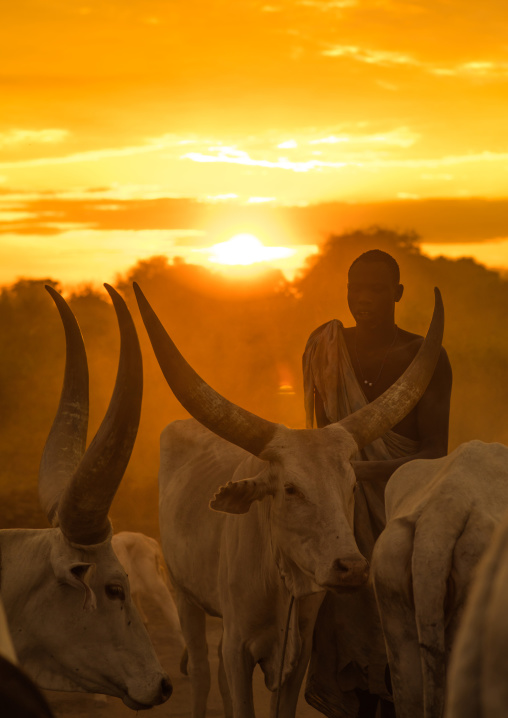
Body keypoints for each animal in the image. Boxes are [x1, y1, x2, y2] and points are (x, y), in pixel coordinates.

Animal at [133, 282, 444, 718]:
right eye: (291, 489)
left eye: (352, 487)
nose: (351, 568)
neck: (280, 579)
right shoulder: (238, 649)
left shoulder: (297, 657)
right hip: (183, 594)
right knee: (201, 670)